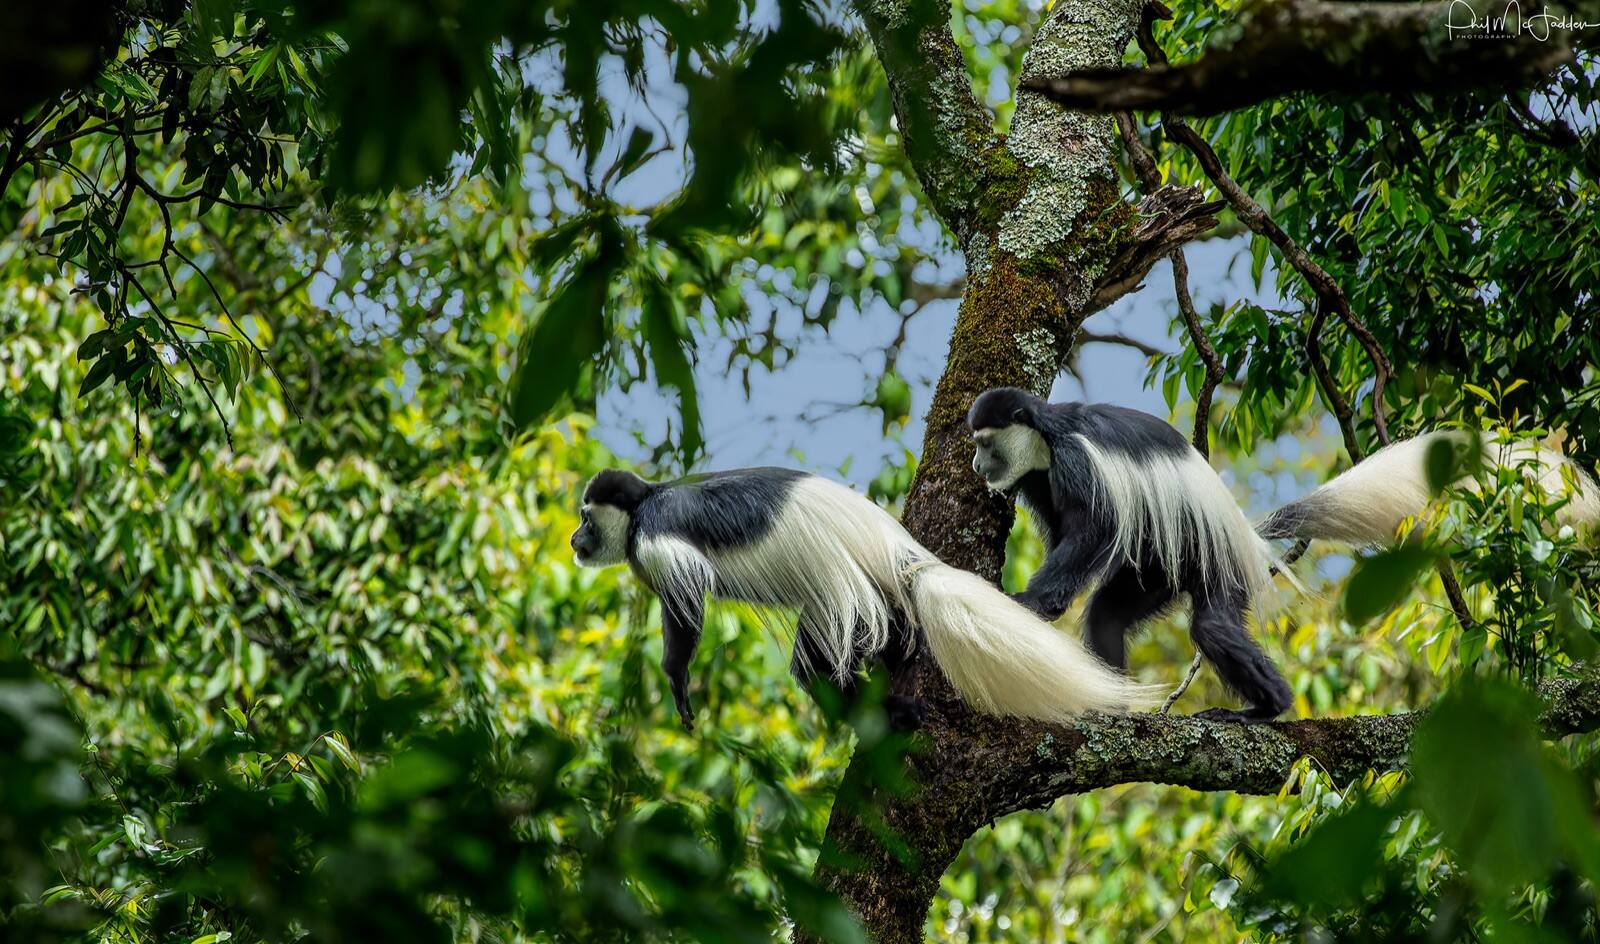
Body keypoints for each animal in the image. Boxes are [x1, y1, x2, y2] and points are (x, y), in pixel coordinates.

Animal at [570, 466, 1162, 731]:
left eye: (584, 518)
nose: (575, 540)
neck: (646, 503)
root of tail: (898, 551)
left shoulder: (658, 545)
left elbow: (686, 611)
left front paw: (676, 681)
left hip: (839, 590)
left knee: (813, 667)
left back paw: (888, 712)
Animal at [967, 386, 1600, 723]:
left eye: (984, 442)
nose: (976, 464)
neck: (1047, 437)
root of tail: (1246, 534)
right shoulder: (1038, 480)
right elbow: (1067, 539)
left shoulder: (1075, 461)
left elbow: (1093, 532)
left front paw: (1027, 602)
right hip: (1161, 567)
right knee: (1109, 615)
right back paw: (1113, 701)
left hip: (1216, 560)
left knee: (1214, 625)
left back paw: (1267, 707)